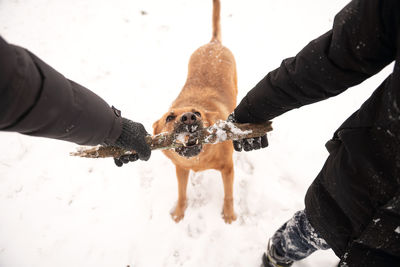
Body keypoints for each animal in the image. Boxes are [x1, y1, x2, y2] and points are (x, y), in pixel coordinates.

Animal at [152, 0, 236, 224]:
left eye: (196, 113)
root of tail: (213, 44)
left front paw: (229, 215)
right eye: (169, 117)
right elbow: (182, 194)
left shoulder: (228, 169)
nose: (188, 117)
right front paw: (179, 214)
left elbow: (229, 195)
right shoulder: (180, 169)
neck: (199, 159)